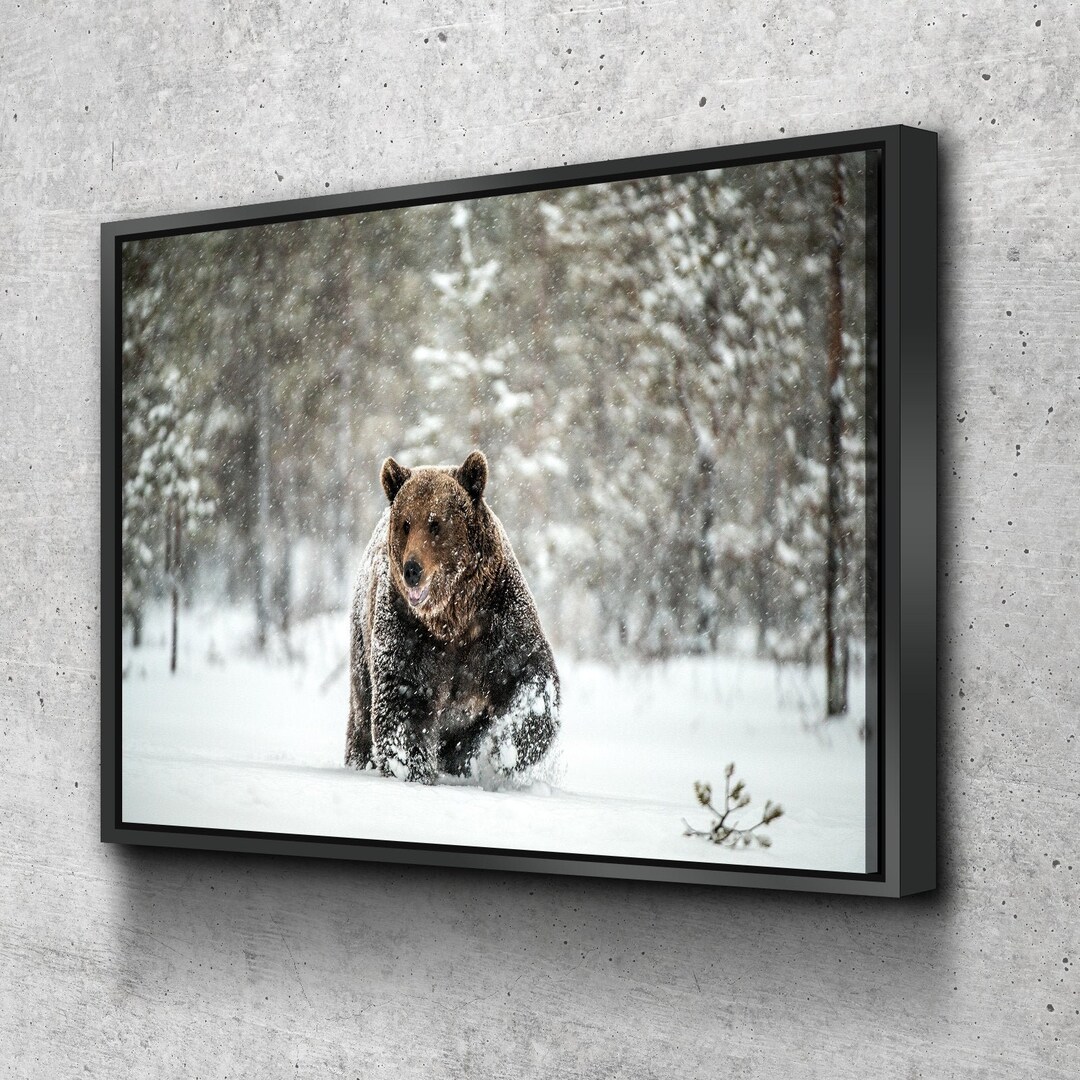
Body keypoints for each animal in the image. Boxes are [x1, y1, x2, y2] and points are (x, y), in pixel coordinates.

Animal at [345, 450, 560, 785]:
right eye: (406, 523)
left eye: (435, 523)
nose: (412, 569)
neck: (452, 617)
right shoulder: (408, 631)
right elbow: (402, 700)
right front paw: (413, 769)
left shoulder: (498, 621)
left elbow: (531, 676)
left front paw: (505, 751)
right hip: (361, 638)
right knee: (362, 708)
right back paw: (361, 759)